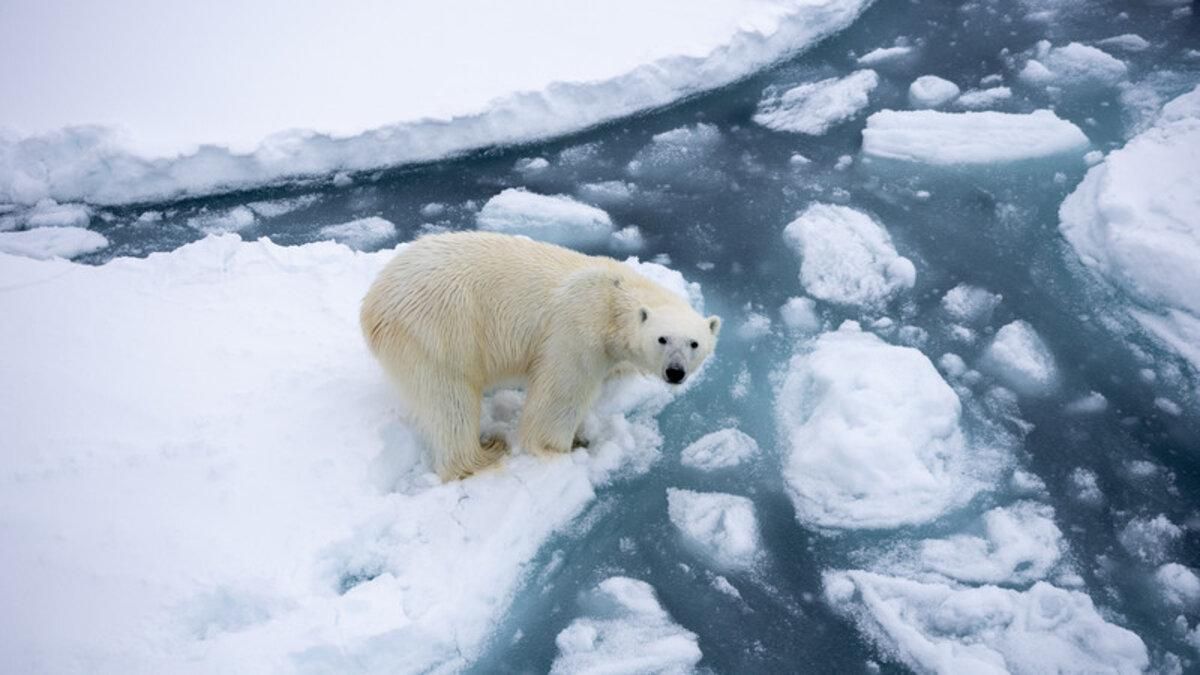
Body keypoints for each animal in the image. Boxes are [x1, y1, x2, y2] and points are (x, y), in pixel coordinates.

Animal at [360, 230, 715, 478]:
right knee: (450, 399)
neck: (613, 297)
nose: (675, 371)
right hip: (442, 328)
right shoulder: (577, 327)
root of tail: (373, 301)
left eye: (694, 343)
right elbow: (560, 395)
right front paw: (568, 447)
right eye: (662, 339)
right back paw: (484, 452)